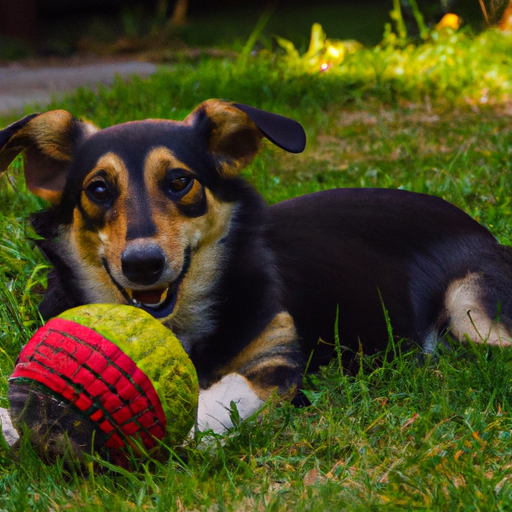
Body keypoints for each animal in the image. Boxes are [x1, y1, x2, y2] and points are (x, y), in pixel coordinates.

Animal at [1, 100, 512, 440]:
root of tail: (484, 231)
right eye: (99, 189)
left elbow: (217, 401)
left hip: (474, 314)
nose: (143, 264)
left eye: (180, 181)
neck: (182, 325)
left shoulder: (275, 364)